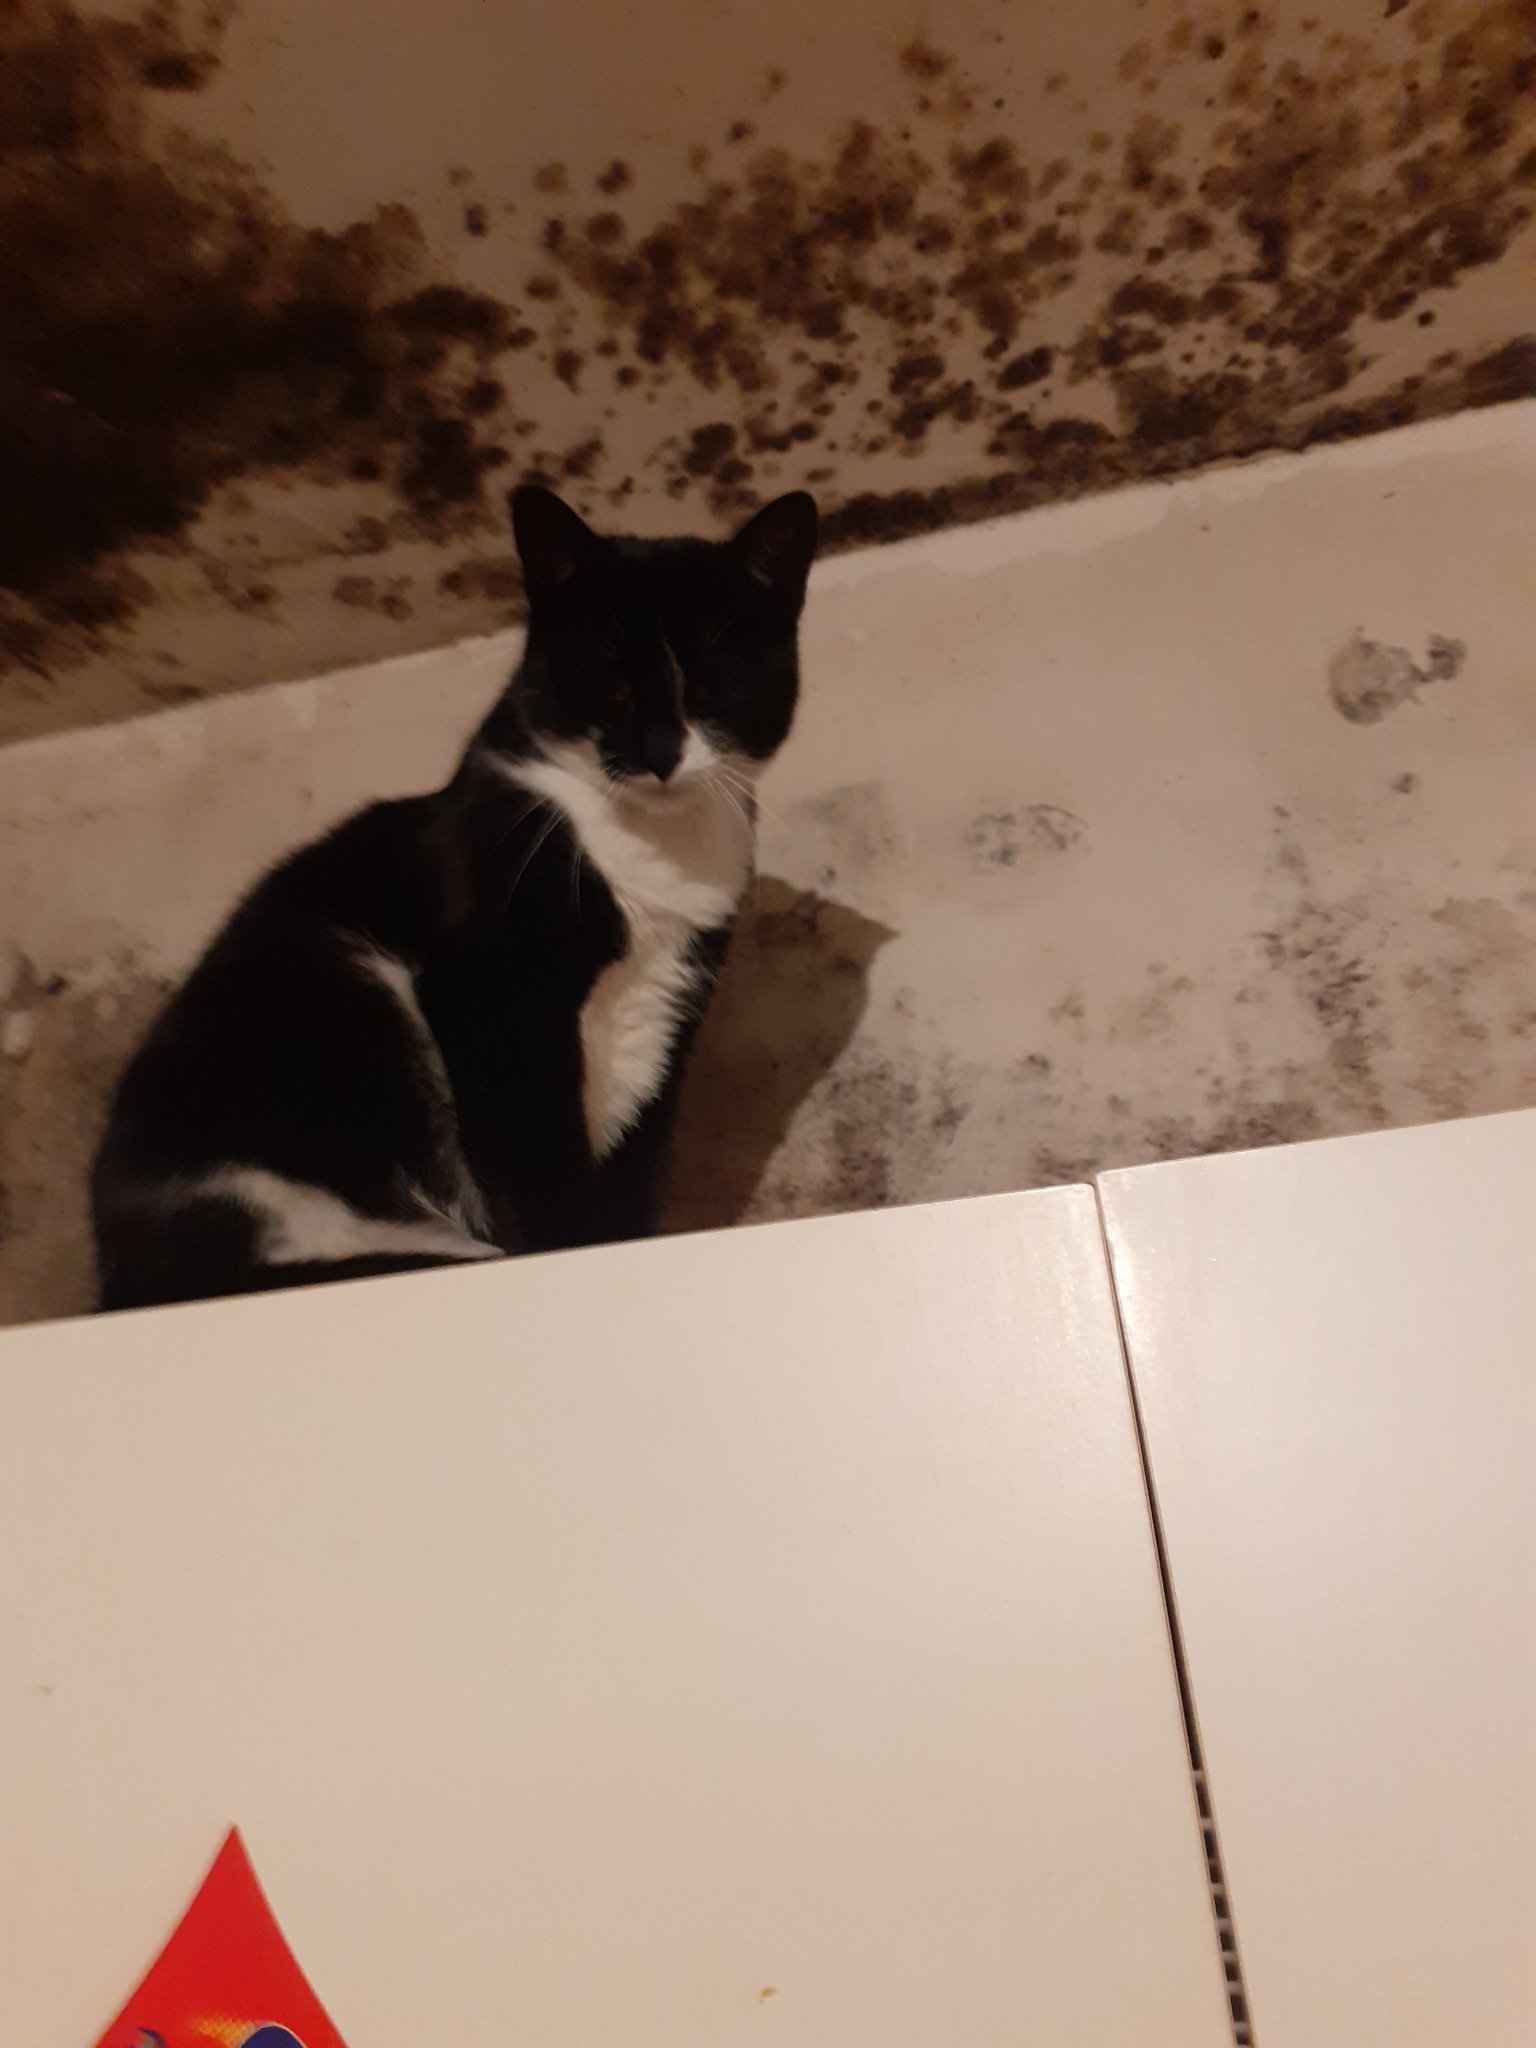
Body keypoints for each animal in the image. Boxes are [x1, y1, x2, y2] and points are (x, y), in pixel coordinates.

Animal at [91, 484, 818, 1311]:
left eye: (712, 683)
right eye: (612, 685)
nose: (661, 752)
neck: (648, 856)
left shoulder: (668, 1015)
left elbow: (634, 1170)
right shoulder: (493, 1003)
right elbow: (540, 1171)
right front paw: (574, 1257)